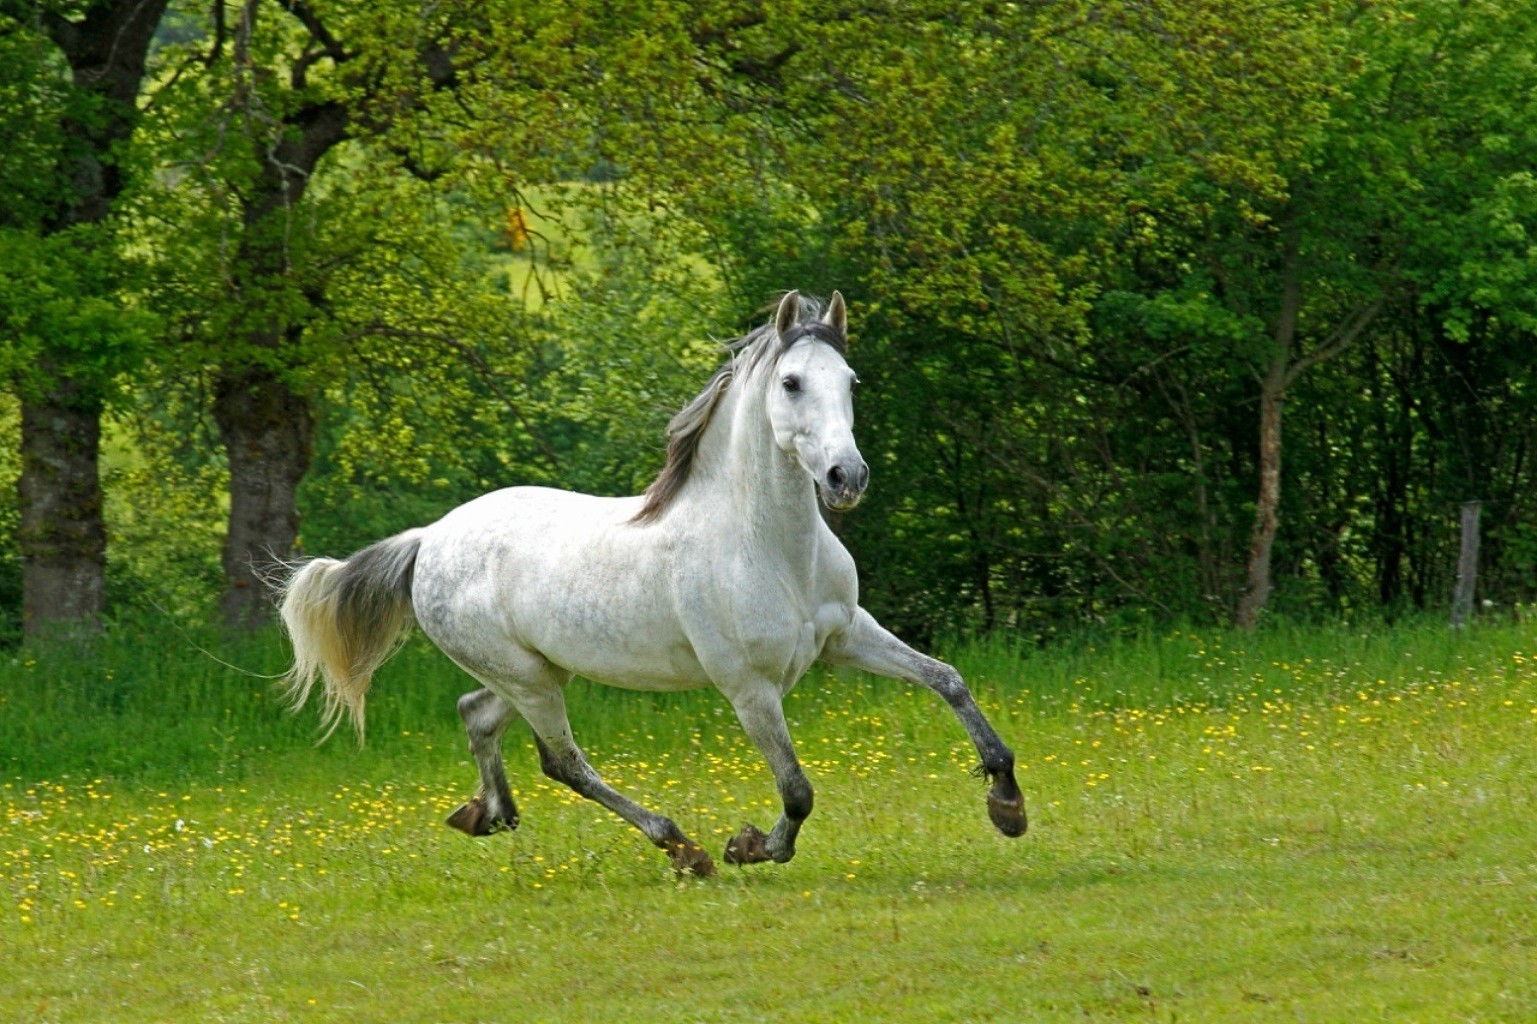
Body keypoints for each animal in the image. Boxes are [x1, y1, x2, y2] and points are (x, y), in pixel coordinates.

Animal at [282, 290, 1026, 873]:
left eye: (851, 382)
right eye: (791, 383)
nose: (847, 478)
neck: (767, 546)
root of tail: (428, 539)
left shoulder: (845, 635)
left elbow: (945, 679)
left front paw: (1007, 804)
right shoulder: (748, 687)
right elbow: (796, 789)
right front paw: (751, 847)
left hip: (537, 671)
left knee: (477, 714)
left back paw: (488, 813)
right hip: (528, 679)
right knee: (564, 762)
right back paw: (682, 848)